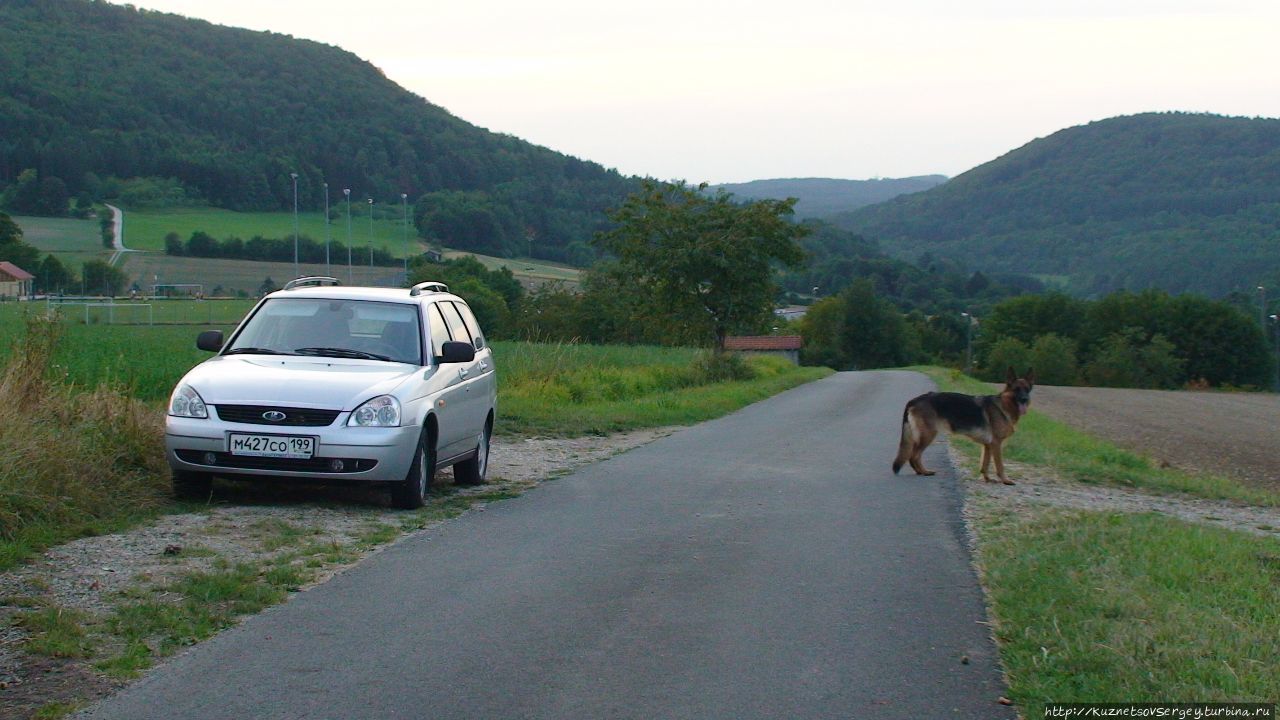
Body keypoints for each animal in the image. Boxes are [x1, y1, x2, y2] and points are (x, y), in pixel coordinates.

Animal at [896, 368, 1034, 481]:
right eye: (1016, 389)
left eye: (1027, 390)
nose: (1024, 399)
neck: (1004, 405)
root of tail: (914, 400)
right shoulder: (996, 444)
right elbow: (1000, 465)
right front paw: (1005, 480)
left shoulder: (988, 445)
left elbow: (985, 463)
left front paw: (987, 479)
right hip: (928, 435)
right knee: (914, 456)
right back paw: (924, 472)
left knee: (913, 456)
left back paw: (920, 472)